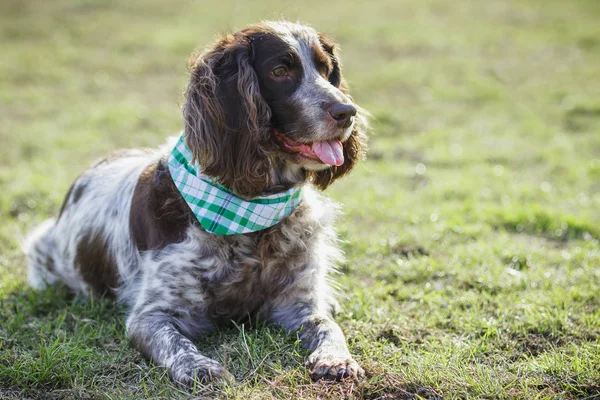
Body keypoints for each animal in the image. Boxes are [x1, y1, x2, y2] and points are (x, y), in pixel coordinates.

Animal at [24, 20, 366, 386]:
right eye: (280, 71)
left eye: (326, 70)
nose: (347, 112)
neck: (250, 209)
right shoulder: (152, 315)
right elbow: (176, 343)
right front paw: (201, 367)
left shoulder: (297, 302)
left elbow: (328, 325)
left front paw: (336, 358)